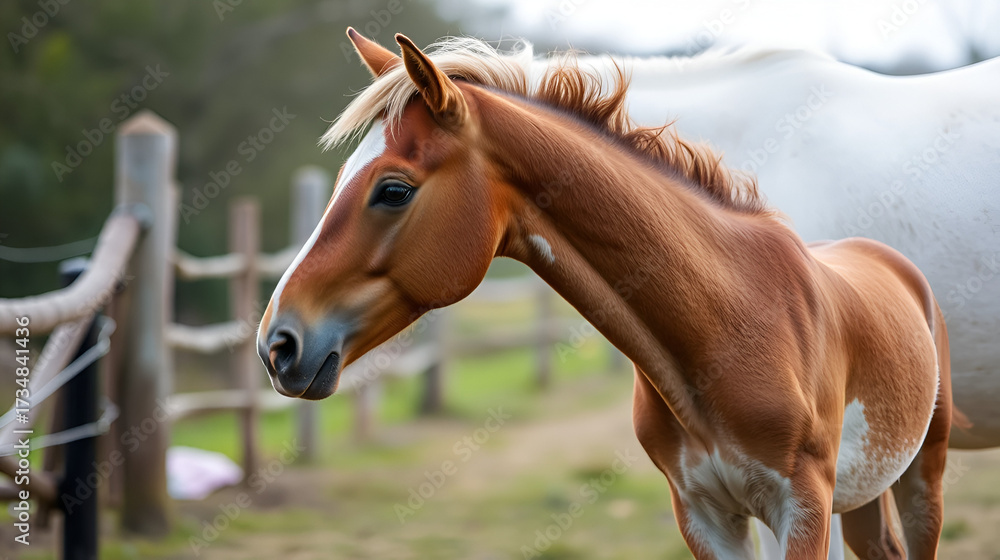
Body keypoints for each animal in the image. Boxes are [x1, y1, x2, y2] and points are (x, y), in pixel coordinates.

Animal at [257, 30, 953, 559]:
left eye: (394, 190)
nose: (278, 344)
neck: (728, 326)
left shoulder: (800, 508)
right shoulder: (705, 515)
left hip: (920, 476)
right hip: (860, 496)